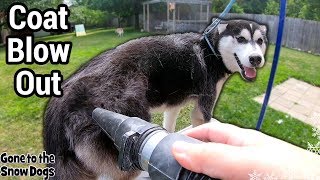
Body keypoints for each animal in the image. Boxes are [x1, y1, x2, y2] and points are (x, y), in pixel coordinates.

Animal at [43, 19, 268, 179]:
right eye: (240, 39)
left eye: (260, 41)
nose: (256, 59)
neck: (212, 50)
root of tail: (62, 96)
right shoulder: (203, 108)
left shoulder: (173, 107)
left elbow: (168, 129)